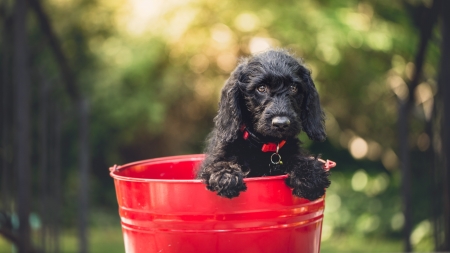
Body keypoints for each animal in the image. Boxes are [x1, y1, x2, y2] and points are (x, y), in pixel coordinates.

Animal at [197, 48, 330, 201]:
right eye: (261, 88)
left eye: (293, 87)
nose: (281, 124)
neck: (265, 145)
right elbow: (218, 164)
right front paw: (226, 176)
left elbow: (299, 159)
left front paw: (309, 175)